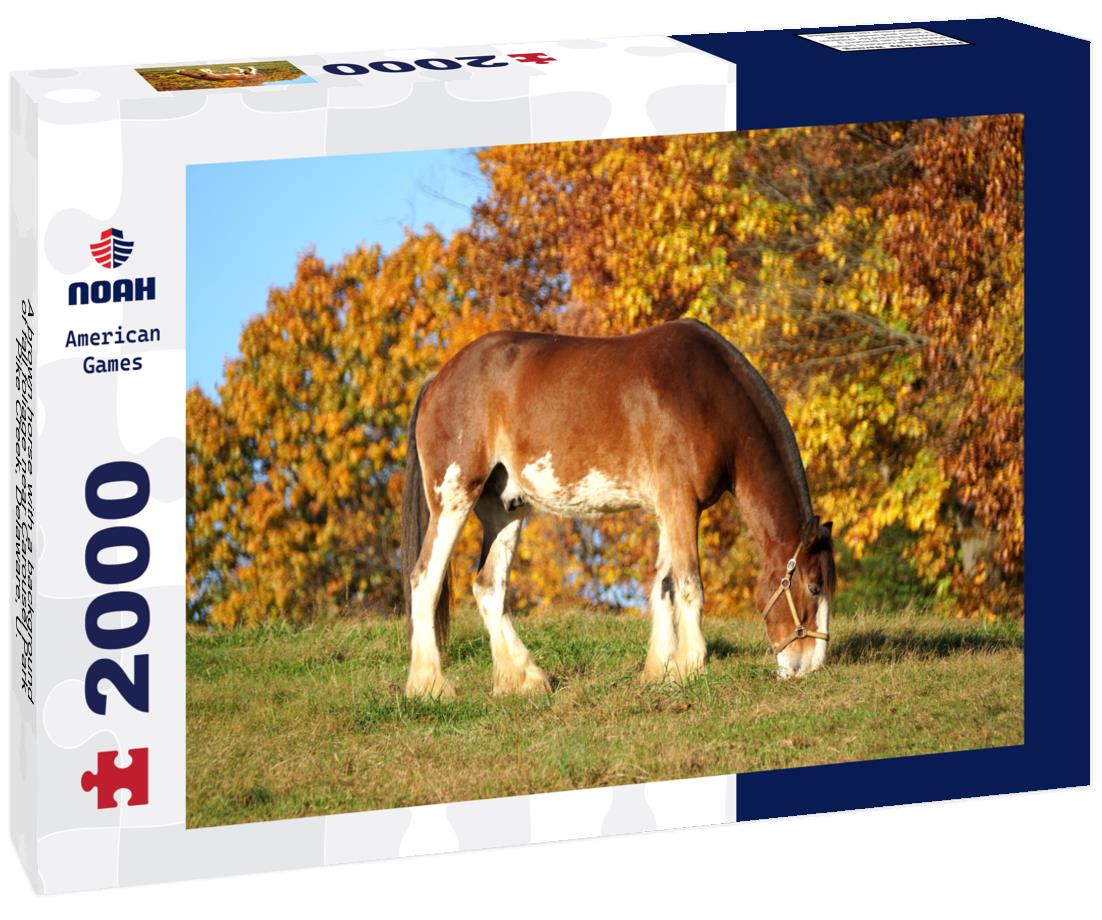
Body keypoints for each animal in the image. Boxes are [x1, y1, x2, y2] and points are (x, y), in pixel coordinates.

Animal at [399, 318, 836, 699]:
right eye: (814, 586)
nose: (808, 666)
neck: (706, 394)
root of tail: (438, 379)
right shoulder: (681, 503)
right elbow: (689, 584)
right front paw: (691, 665)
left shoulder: (668, 509)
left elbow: (663, 585)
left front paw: (660, 671)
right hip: (454, 496)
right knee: (424, 579)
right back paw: (431, 686)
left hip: (506, 508)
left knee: (489, 587)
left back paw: (523, 679)